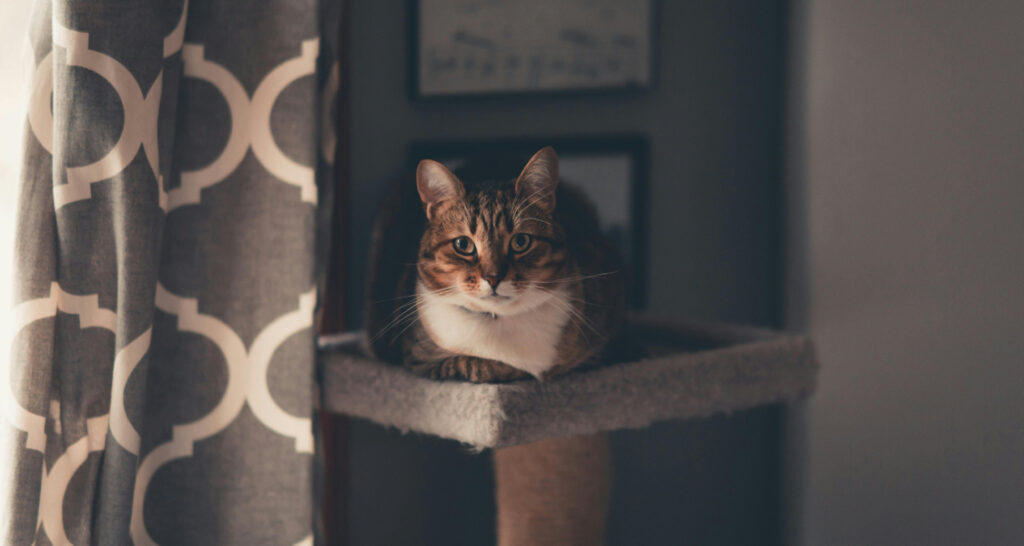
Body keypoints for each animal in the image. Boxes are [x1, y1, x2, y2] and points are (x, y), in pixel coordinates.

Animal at [368, 146, 622, 381]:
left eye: (521, 241)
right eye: (463, 244)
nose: (493, 277)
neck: (498, 319)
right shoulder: (419, 358)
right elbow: (474, 364)